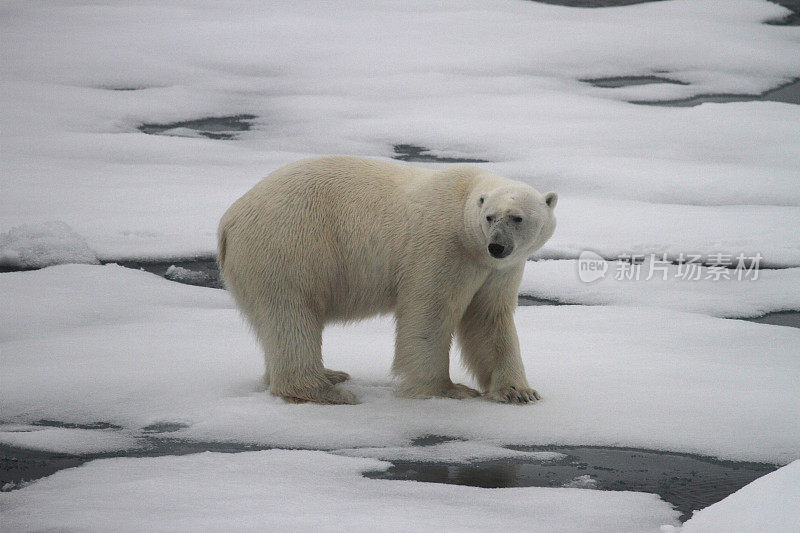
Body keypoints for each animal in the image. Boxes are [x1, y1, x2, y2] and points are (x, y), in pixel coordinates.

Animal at [219, 156, 556, 406]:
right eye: (490, 216)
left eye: (517, 218)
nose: (497, 246)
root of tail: (230, 218)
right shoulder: (442, 246)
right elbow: (429, 312)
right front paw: (447, 389)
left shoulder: (499, 270)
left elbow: (489, 318)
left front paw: (519, 392)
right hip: (289, 245)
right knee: (291, 313)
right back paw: (325, 390)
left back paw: (328, 375)